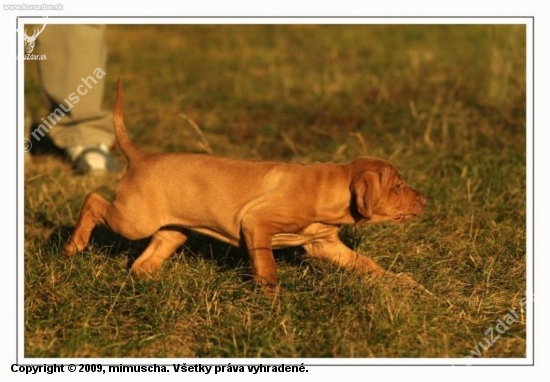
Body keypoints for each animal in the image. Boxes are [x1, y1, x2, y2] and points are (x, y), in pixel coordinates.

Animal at [62, 80, 430, 286]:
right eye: (398, 185)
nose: (425, 200)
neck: (328, 189)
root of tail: (141, 158)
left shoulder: (325, 245)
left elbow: (367, 264)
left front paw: (399, 281)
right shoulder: (257, 224)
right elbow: (267, 268)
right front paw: (271, 300)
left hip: (172, 231)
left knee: (142, 263)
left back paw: (150, 283)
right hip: (134, 221)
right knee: (93, 200)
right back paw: (73, 245)